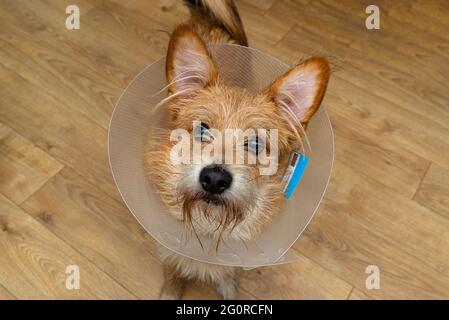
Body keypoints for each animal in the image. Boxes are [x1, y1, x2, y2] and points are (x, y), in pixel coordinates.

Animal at [144, 0, 328, 300]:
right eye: (202, 129)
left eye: (255, 144)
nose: (214, 179)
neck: (207, 227)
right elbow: (172, 269)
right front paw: (170, 291)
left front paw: (229, 290)